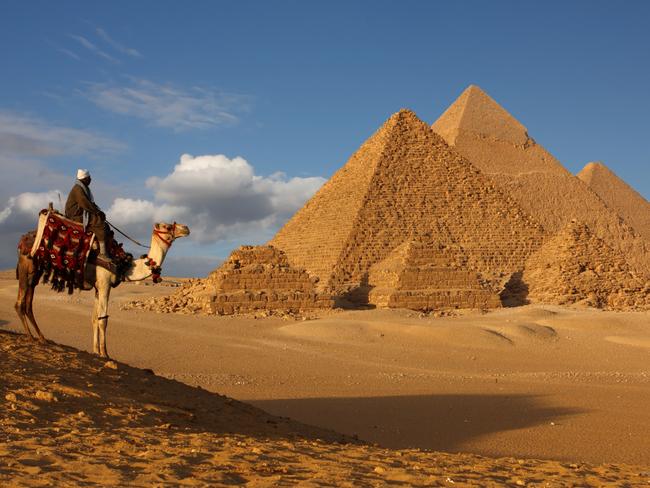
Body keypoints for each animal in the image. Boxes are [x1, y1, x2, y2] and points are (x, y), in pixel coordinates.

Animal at [15, 221, 190, 358]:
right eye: (168, 226)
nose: (186, 228)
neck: (124, 265)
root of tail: (24, 239)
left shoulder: (98, 287)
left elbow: (94, 318)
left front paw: (95, 350)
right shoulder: (105, 283)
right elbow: (103, 320)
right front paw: (105, 354)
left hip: (35, 272)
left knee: (28, 304)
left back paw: (41, 337)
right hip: (27, 267)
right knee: (20, 304)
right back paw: (30, 336)